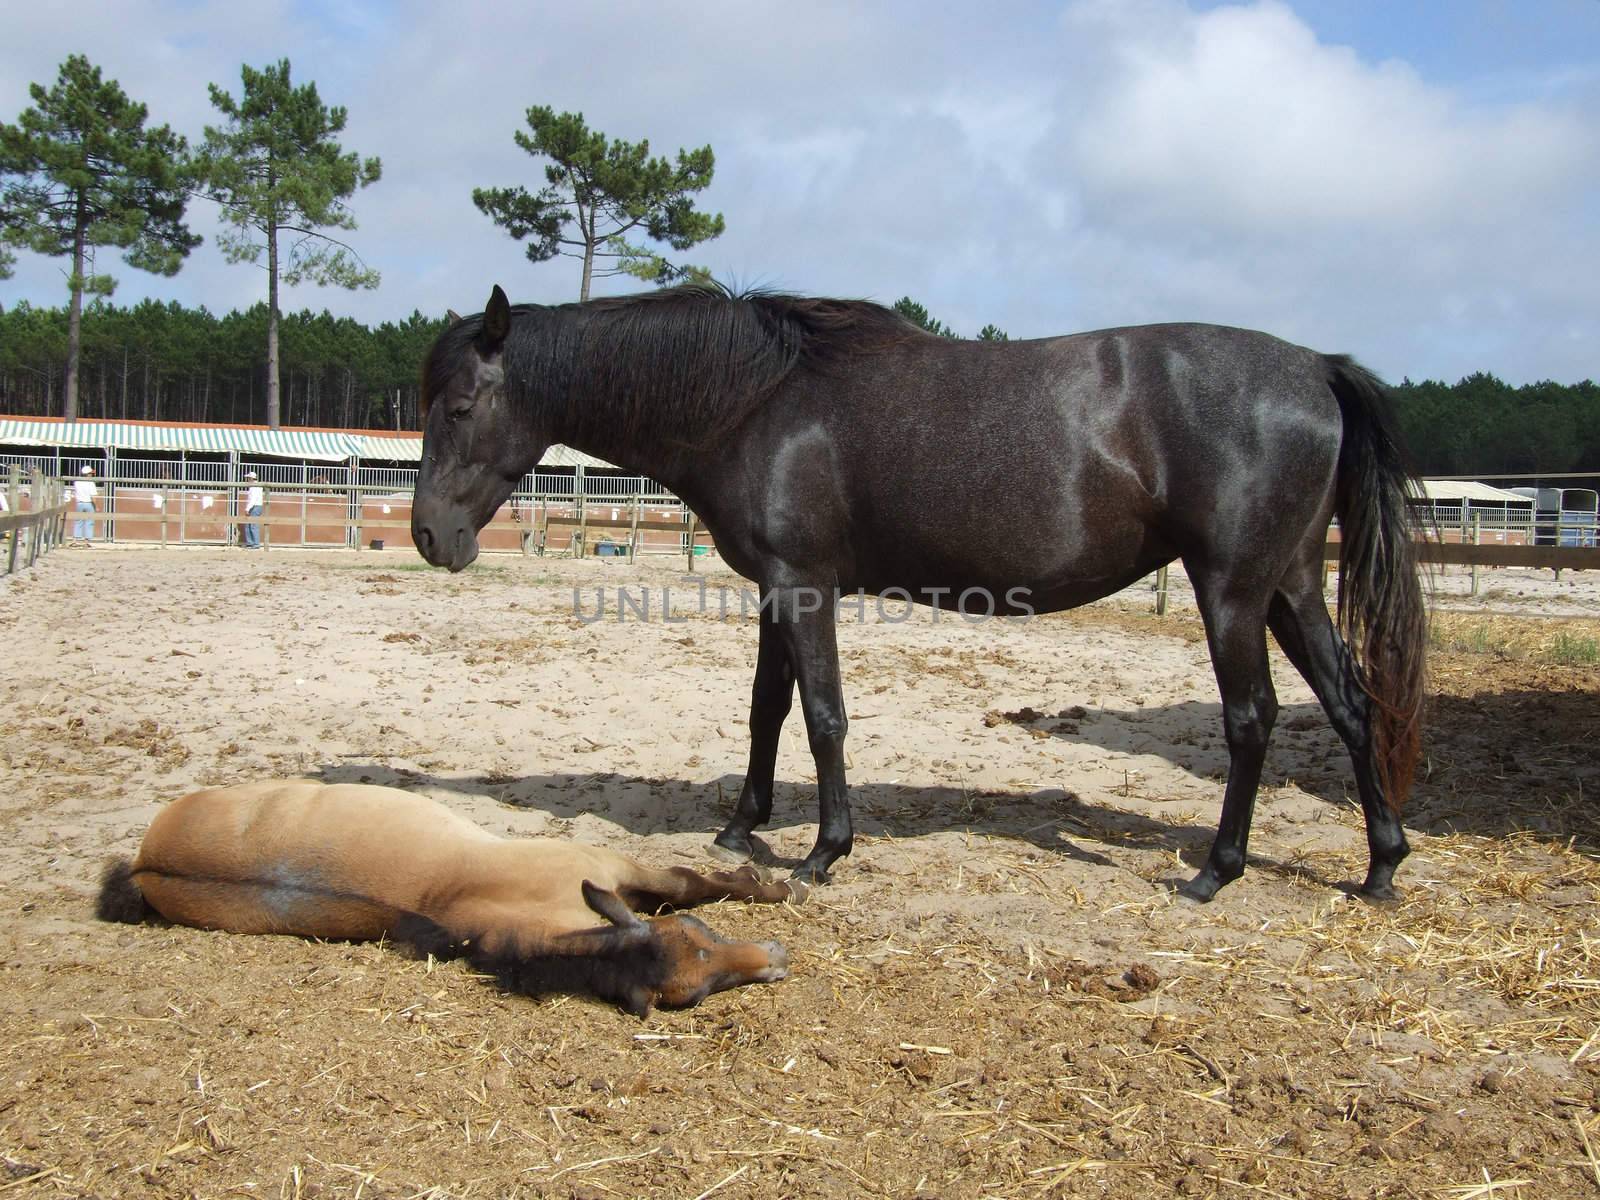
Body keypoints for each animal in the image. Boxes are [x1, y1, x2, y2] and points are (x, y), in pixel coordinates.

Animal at [98, 780, 800, 1017]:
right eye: (694, 992)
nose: (777, 959)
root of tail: (143, 863)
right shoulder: (608, 866)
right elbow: (688, 883)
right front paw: (775, 885)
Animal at [412, 284, 1427, 902]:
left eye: (459, 407)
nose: (429, 536)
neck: (757, 401)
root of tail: (1317, 367)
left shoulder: (804, 586)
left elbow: (822, 716)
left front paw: (825, 849)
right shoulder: (777, 589)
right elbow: (767, 709)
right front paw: (741, 828)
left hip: (1233, 593)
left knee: (1252, 720)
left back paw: (1216, 872)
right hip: (1292, 586)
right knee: (1350, 704)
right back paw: (1380, 865)